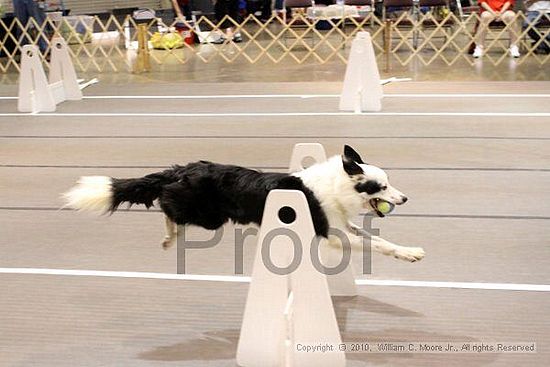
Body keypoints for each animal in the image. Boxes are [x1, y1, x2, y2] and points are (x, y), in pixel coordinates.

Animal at [63, 145, 426, 264]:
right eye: (382, 186)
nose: (405, 198)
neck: (338, 185)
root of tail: (179, 170)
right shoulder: (333, 235)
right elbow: (378, 245)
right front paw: (409, 254)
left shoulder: (343, 225)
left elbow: (379, 240)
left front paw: (408, 250)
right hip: (208, 216)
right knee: (167, 206)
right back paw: (169, 235)